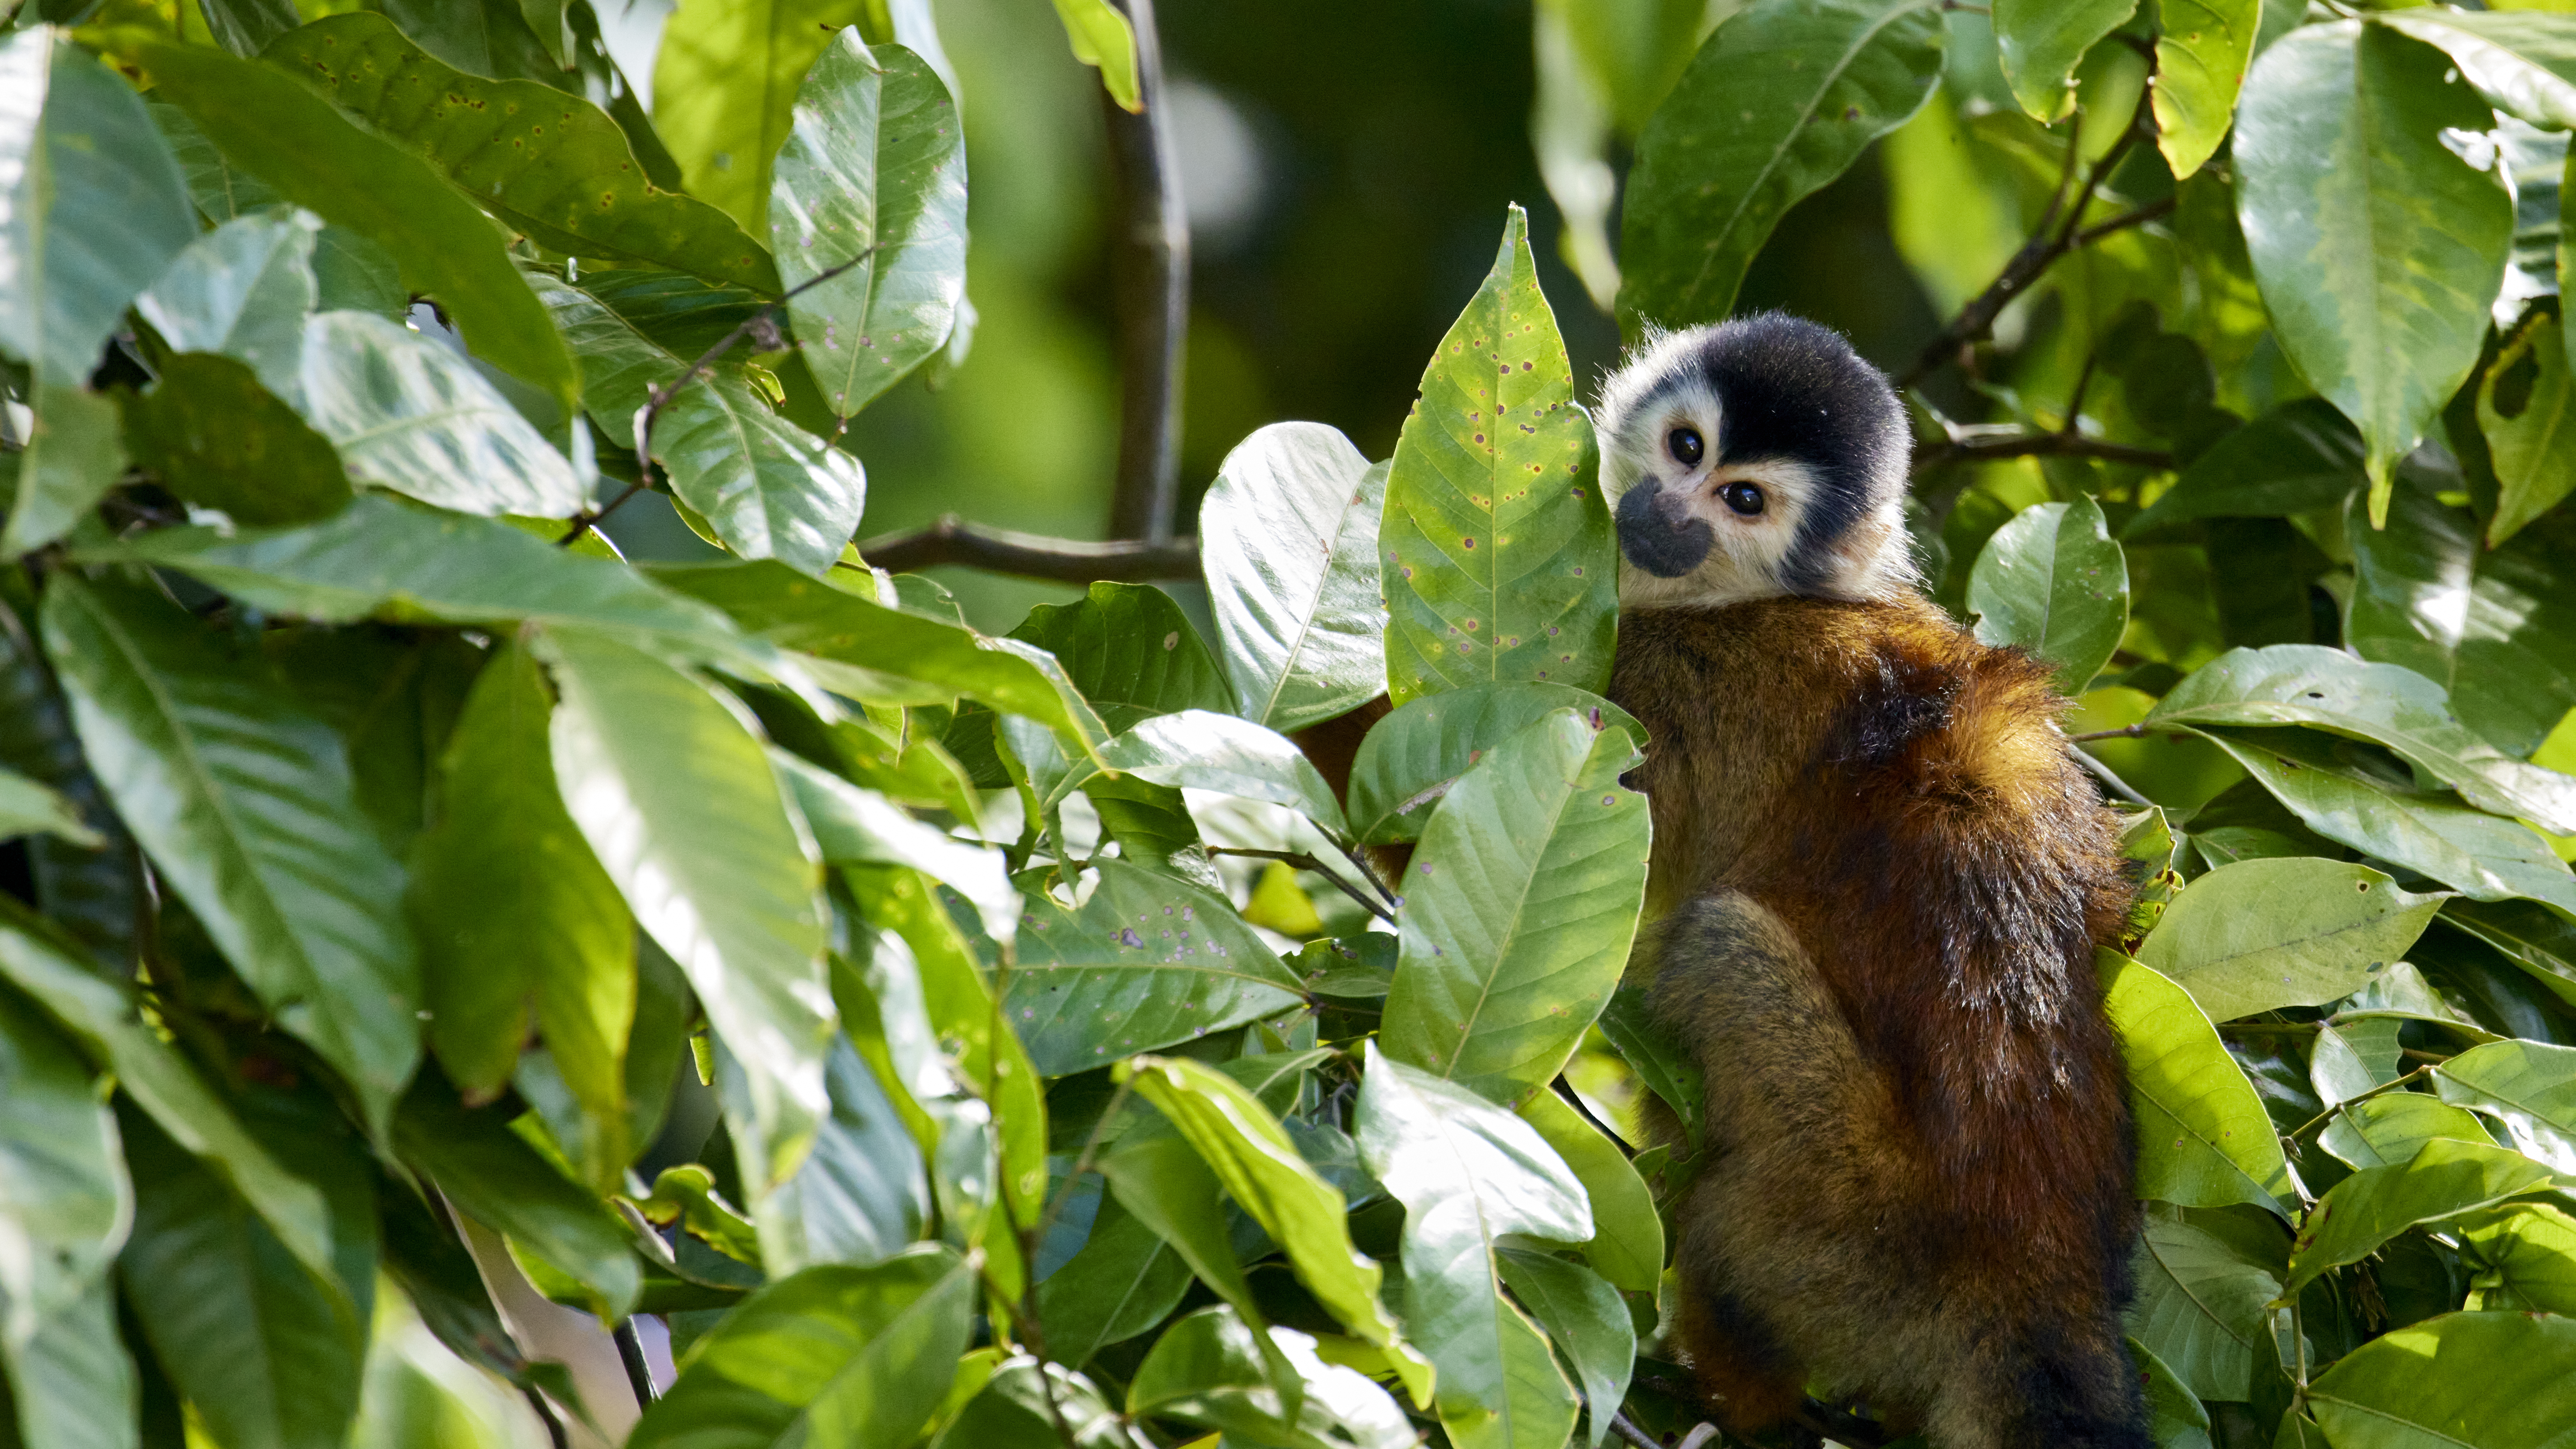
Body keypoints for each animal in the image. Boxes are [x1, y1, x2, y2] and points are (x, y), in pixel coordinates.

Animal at [1597, 320, 2143, 1449]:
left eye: (1742, 498)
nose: (1665, 510)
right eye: (1684, 446)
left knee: (1715, 943)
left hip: (1848, 1240)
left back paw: (1732, 1373)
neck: (1747, 598)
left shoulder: (1676, 681)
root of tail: (2035, 1284)